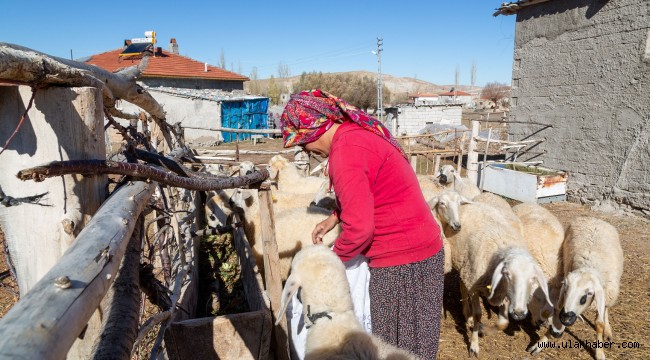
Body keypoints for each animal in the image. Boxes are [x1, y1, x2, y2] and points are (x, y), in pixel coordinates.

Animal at [428, 191, 548, 358]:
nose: (519, 313)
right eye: (507, 274)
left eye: (532, 279)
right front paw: (474, 345)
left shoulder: (503, 294)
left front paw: (484, 330)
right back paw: (468, 315)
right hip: (467, 269)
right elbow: (478, 314)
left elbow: (503, 323)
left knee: (463, 286)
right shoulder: (476, 285)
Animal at [552, 217, 624, 360]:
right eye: (566, 289)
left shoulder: (605, 295)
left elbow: (600, 324)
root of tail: (592, 218)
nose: (565, 317)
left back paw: (608, 330)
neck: (590, 266)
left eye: (587, 294)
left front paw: (599, 352)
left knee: (606, 309)